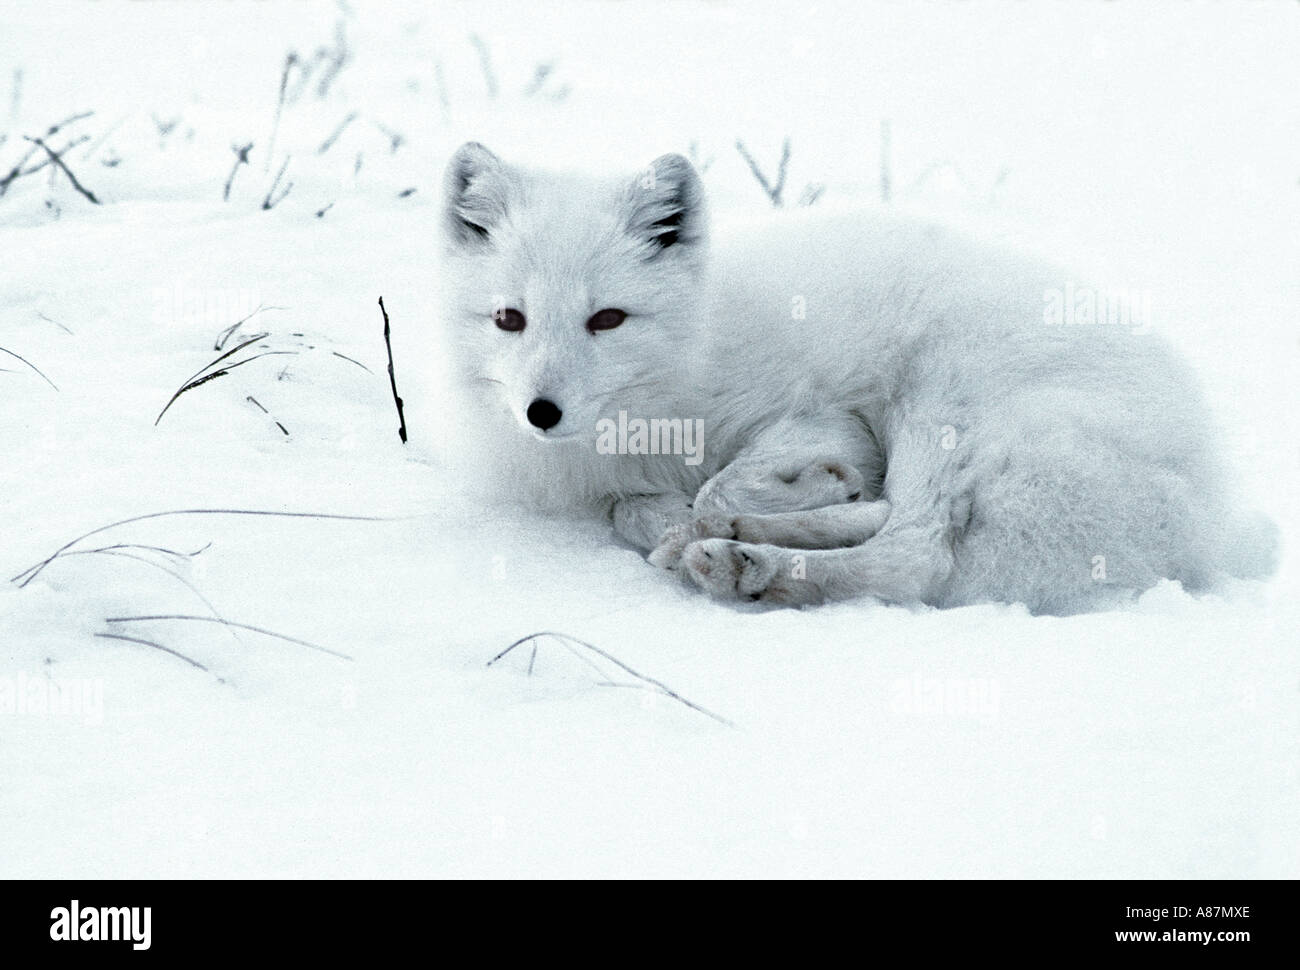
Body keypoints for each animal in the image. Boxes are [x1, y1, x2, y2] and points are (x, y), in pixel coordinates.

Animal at [436, 142, 1277, 613]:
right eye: (509, 318)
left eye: (607, 318)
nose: (541, 411)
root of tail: (1200, 520)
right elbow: (635, 509)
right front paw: (680, 517)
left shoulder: (819, 415)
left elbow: (720, 485)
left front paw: (790, 490)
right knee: (901, 532)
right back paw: (745, 547)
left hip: (943, 400)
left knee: (915, 548)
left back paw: (751, 559)